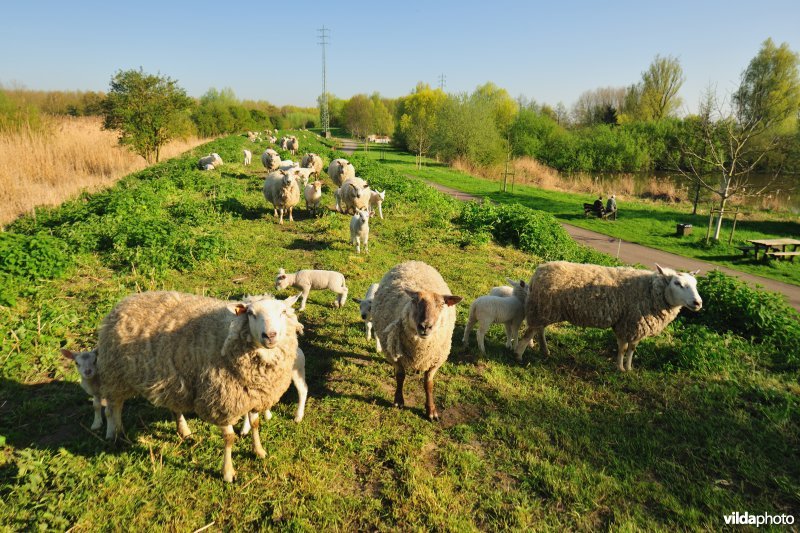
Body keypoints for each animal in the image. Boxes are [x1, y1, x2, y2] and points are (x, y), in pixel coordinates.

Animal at [96, 290, 304, 482]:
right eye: (251, 313)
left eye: (283, 312)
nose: (269, 335)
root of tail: (126, 300)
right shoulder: (221, 402)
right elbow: (229, 439)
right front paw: (228, 472)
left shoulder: (253, 396)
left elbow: (255, 424)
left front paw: (259, 451)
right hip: (116, 373)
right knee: (114, 405)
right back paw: (115, 433)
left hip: (171, 380)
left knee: (173, 406)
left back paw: (183, 431)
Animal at [370, 260, 462, 420]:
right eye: (415, 301)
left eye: (441, 304)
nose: (425, 326)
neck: (421, 349)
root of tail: (414, 262)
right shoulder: (395, 357)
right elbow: (400, 376)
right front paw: (398, 400)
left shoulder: (435, 360)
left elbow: (428, 384)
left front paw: (431, 410)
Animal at [512, 262, 700, 370]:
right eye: (677, 283)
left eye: (696, 284)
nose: (698, 303)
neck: (649, 291)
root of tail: (539, 271)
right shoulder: (627, 323)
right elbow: (623, 348)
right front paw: (620, 368)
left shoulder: (637, 326)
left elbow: (632, 349)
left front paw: (629, 369)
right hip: (542, 307)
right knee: (529, 332)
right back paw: (518, 356)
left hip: (546, 310)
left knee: (539, 330)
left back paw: (545, 351)